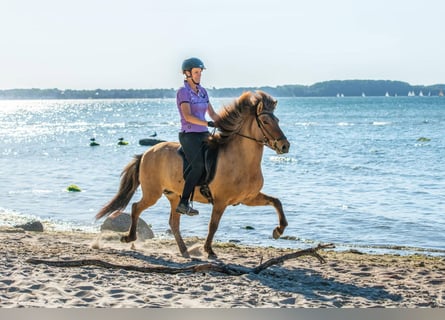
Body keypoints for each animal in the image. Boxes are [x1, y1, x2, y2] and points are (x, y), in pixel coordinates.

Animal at [95, 89, 290, 258]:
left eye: (278, 120)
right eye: (265, 122)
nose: (284, 146)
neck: (241, 160)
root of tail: (146, 153)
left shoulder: (248, 198)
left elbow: (276, 202)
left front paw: (278, 230)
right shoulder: (221, 201)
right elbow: (213, 225)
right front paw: (209, 250)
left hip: (174, 196)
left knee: (173, 223)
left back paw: (184, 250)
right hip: (152, 193)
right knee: (136, 207)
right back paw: (129, 237)